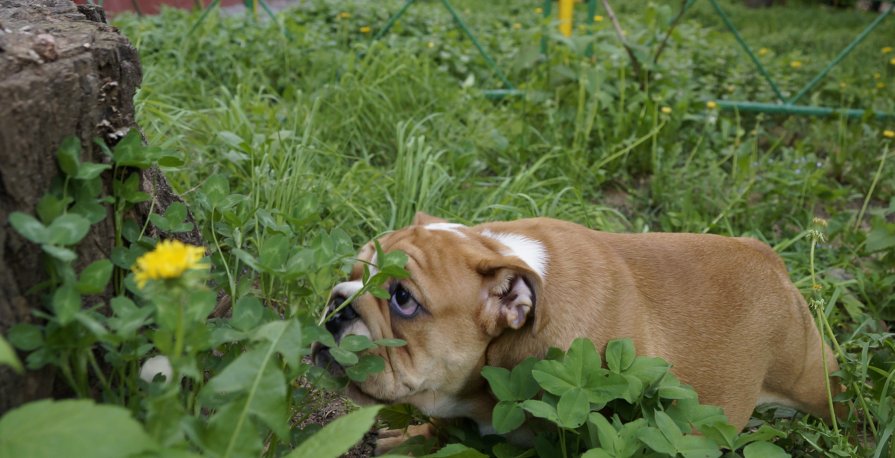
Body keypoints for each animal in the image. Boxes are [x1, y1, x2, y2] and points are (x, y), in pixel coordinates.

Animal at [314, 213, 840, 446]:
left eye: (403, 299)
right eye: (353, 271)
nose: (337, 305)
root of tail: (772, 260)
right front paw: (412, 436)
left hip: (811, 377)